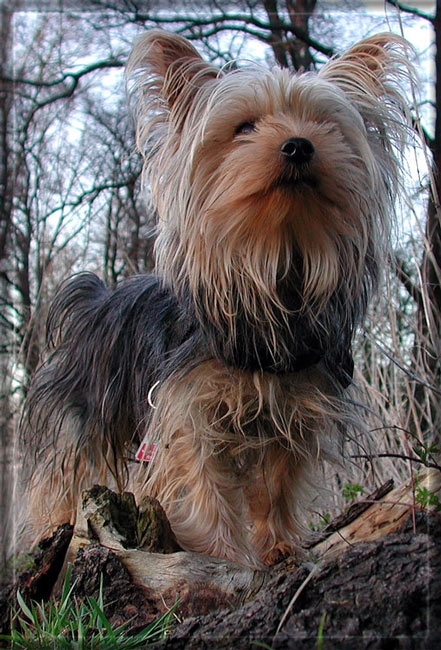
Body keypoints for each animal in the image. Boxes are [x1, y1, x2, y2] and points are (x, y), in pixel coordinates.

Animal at [22, 31, 410, 568]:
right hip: (80, 418)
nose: (299, 144)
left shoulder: (296, 408)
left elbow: (277, 484)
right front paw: (223, 556)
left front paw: (279, 548)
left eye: (326, 124)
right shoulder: (187, 412)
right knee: (63, 478)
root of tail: (94, 300)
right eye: (244, 126)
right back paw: (51, 536)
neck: (272, 265)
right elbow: (203, 485)